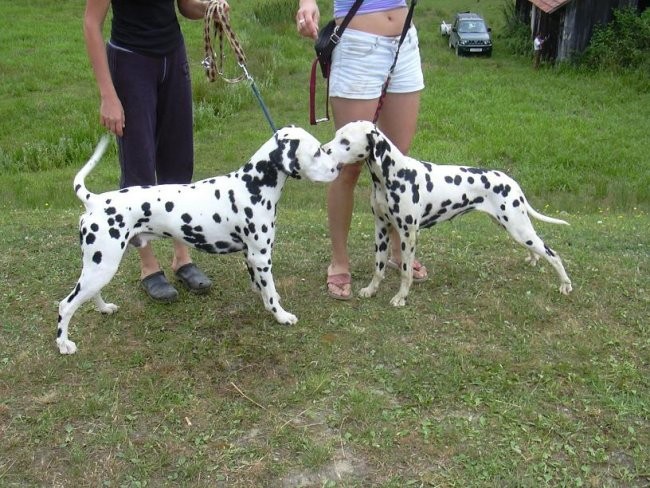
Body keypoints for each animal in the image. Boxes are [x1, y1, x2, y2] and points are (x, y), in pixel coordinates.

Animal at [58, 126, 342, 354]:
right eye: (317, 151)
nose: (338, 167)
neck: (252, 186)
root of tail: (95, 200)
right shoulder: (261, 256)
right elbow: (271, 294)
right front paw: (281, 316)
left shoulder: (251, 256)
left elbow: (262, 287)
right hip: (102, 266)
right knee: (65, 305)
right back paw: (64, 344)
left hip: (100, 265)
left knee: (89, 294)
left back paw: (104, 308)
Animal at [322, 121, 568, 304]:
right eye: (336, 135)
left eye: (345, 141)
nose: (324, 150)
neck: (393, 174)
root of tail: (512, 182)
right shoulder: (381, 228)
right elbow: (379, 267)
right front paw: (371, 289)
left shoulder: (408, 234)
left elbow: (405, 271)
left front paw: (401, 297)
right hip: (513, 227)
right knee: (537, 249)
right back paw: (533, 260)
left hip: (518, 228)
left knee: (553, 254)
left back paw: (565, 285)